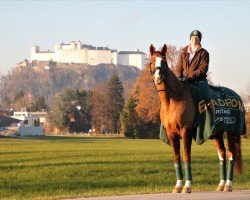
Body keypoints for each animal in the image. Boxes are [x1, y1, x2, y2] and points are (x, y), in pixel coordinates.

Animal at [148, 44, 242, 194]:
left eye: (164, 62)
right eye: (152, 61)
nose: (158, 77)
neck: (173, 100)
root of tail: (237, 96)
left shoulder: (186, 132)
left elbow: (186, 157)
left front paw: (187, 186)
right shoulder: (172, 135)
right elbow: (177, 158)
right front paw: (178, 186)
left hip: (232, 133)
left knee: (231, 154)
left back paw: (228, 185)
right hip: (217, 134)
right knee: (222, 154)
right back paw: (221, 185)